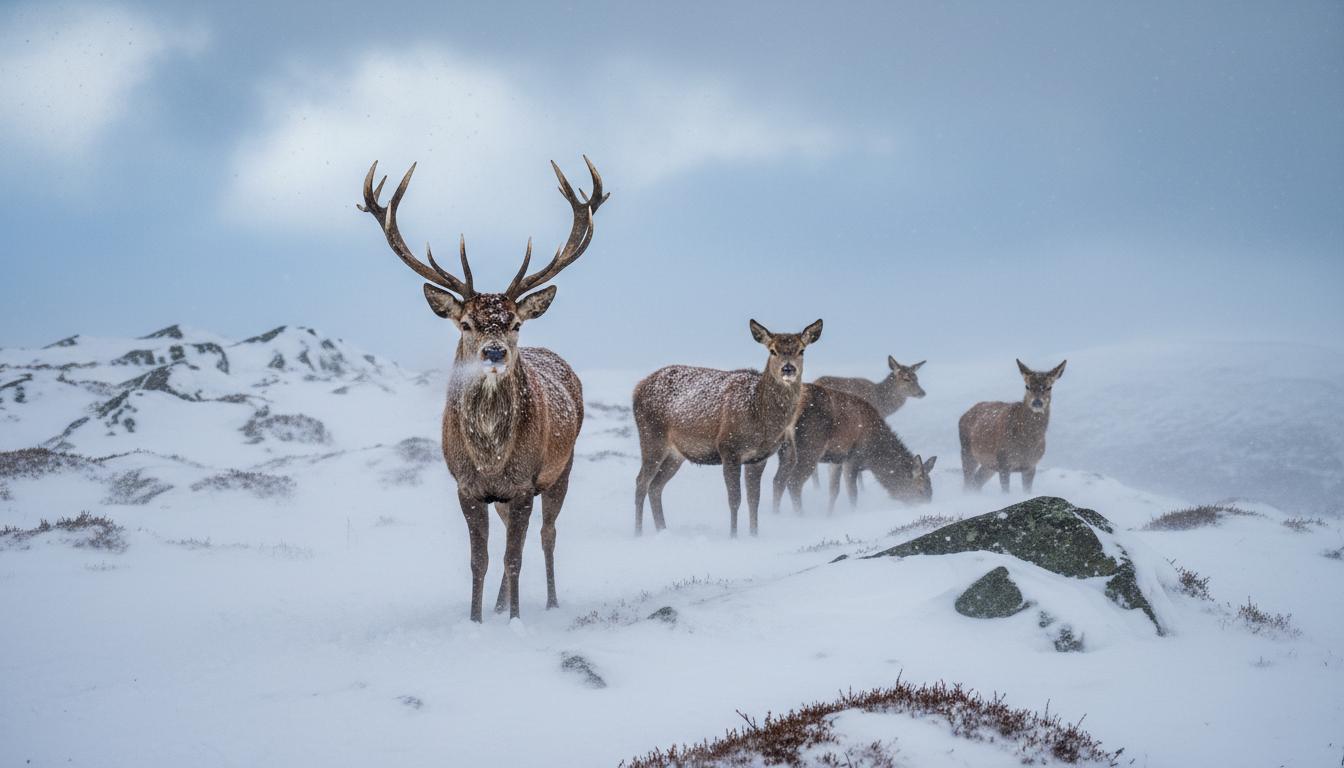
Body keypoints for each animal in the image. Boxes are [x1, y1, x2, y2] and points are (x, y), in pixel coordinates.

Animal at [358, 156, 607, 622]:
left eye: (515, 323)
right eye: (466, 323)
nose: (494, 352)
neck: (490, 458)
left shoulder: (524, 483)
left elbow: (514, 557)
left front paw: (515, 621)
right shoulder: (467, 487)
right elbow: (480, 560)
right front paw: (475, 619)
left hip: (562, 469)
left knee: (547, 534)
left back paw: (549, 601)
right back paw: (498, 603)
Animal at [632, 319, 823, 537]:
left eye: (801, 350)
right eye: (773, 350)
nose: (788, 369)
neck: (760, 418)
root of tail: (636, 389)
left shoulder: (759, 457)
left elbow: (754, 500)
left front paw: (754, 535)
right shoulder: (729, 448)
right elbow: (735, 499)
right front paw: (733, 536)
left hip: (675, 453)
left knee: (656, 486)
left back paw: (662, 530)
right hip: (651, 436)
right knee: (641, 482)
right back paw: (638, 533)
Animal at [772, 384, 936, 515]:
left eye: (931, 491)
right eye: (920, 490)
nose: (927, 506)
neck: (872, 456)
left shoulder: (837, 459)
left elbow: (834, 491)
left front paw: (829, 515)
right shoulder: (852, 457)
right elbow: (853, 494)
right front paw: (853, 514)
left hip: (786, 448)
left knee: (778, 480)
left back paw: (776, 516)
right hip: (810, 446)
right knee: (794, 482)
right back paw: (800, 516)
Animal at [958, 359, 1066, 494]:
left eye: (1049, 387)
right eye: (1027, 386)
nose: (1037, 402)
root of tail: (963, 415)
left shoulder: (1031, 464)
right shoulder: (1004, 461)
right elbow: (1006, 491)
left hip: (989, 464)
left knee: (977, 481)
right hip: (967, 450)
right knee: (968, 481)